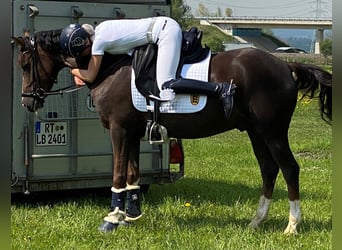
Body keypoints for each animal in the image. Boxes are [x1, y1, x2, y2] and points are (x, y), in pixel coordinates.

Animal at [12, 29, 332, 234]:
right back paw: (257, 221)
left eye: (26, 64)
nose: (27, 102)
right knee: (269, 169)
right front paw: (131, 216)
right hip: (255, 132)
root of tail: (285, 65)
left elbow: (118, 174)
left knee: (289, 169)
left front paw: (112, 219)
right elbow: (132, 174)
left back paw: (292, 225)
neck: (108, 67)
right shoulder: (133, 132)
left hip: (272, 131)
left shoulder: (119, 130)